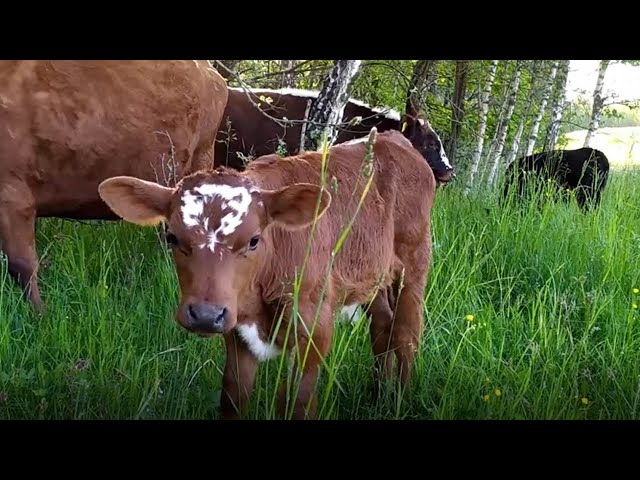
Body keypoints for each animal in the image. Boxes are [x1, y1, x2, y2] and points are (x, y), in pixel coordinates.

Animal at [98, 128, 437, 420]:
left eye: (253, 240)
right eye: (172, 237)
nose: (206, 315)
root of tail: (393, 137)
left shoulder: (314, 328)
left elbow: (297, 402)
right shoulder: (236, 330)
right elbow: (233, 396)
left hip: (414, 261)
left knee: (406, 333)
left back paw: (400, 400)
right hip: (372, 277)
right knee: (382, 326)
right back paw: (378, 394)